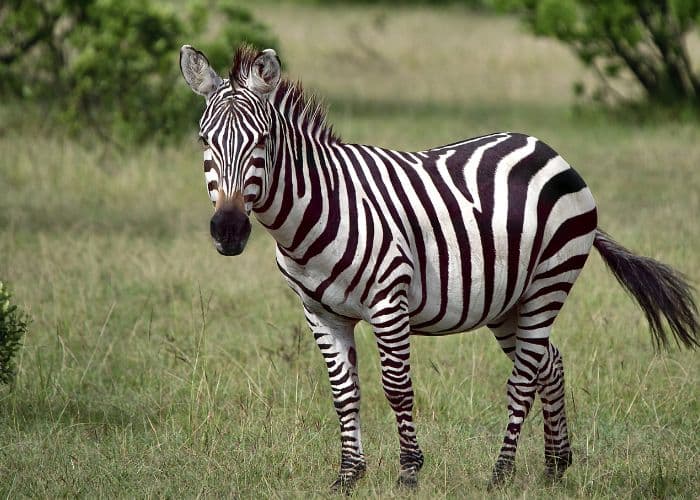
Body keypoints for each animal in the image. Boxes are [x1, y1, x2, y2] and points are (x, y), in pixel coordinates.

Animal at [179, 44, 699, 490]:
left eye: (263, 139)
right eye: (204, 140)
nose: (229, 230)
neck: (317, 209)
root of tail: (548, 149)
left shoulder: (389, 301)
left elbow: (397, 388)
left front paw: (409, 472)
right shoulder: (320, 313)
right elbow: (344, 392)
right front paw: (348, 476)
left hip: (548, 283)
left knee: (524, 378)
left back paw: (501, 473)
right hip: (507, 300)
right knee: (548, 362)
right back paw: (555, 466)